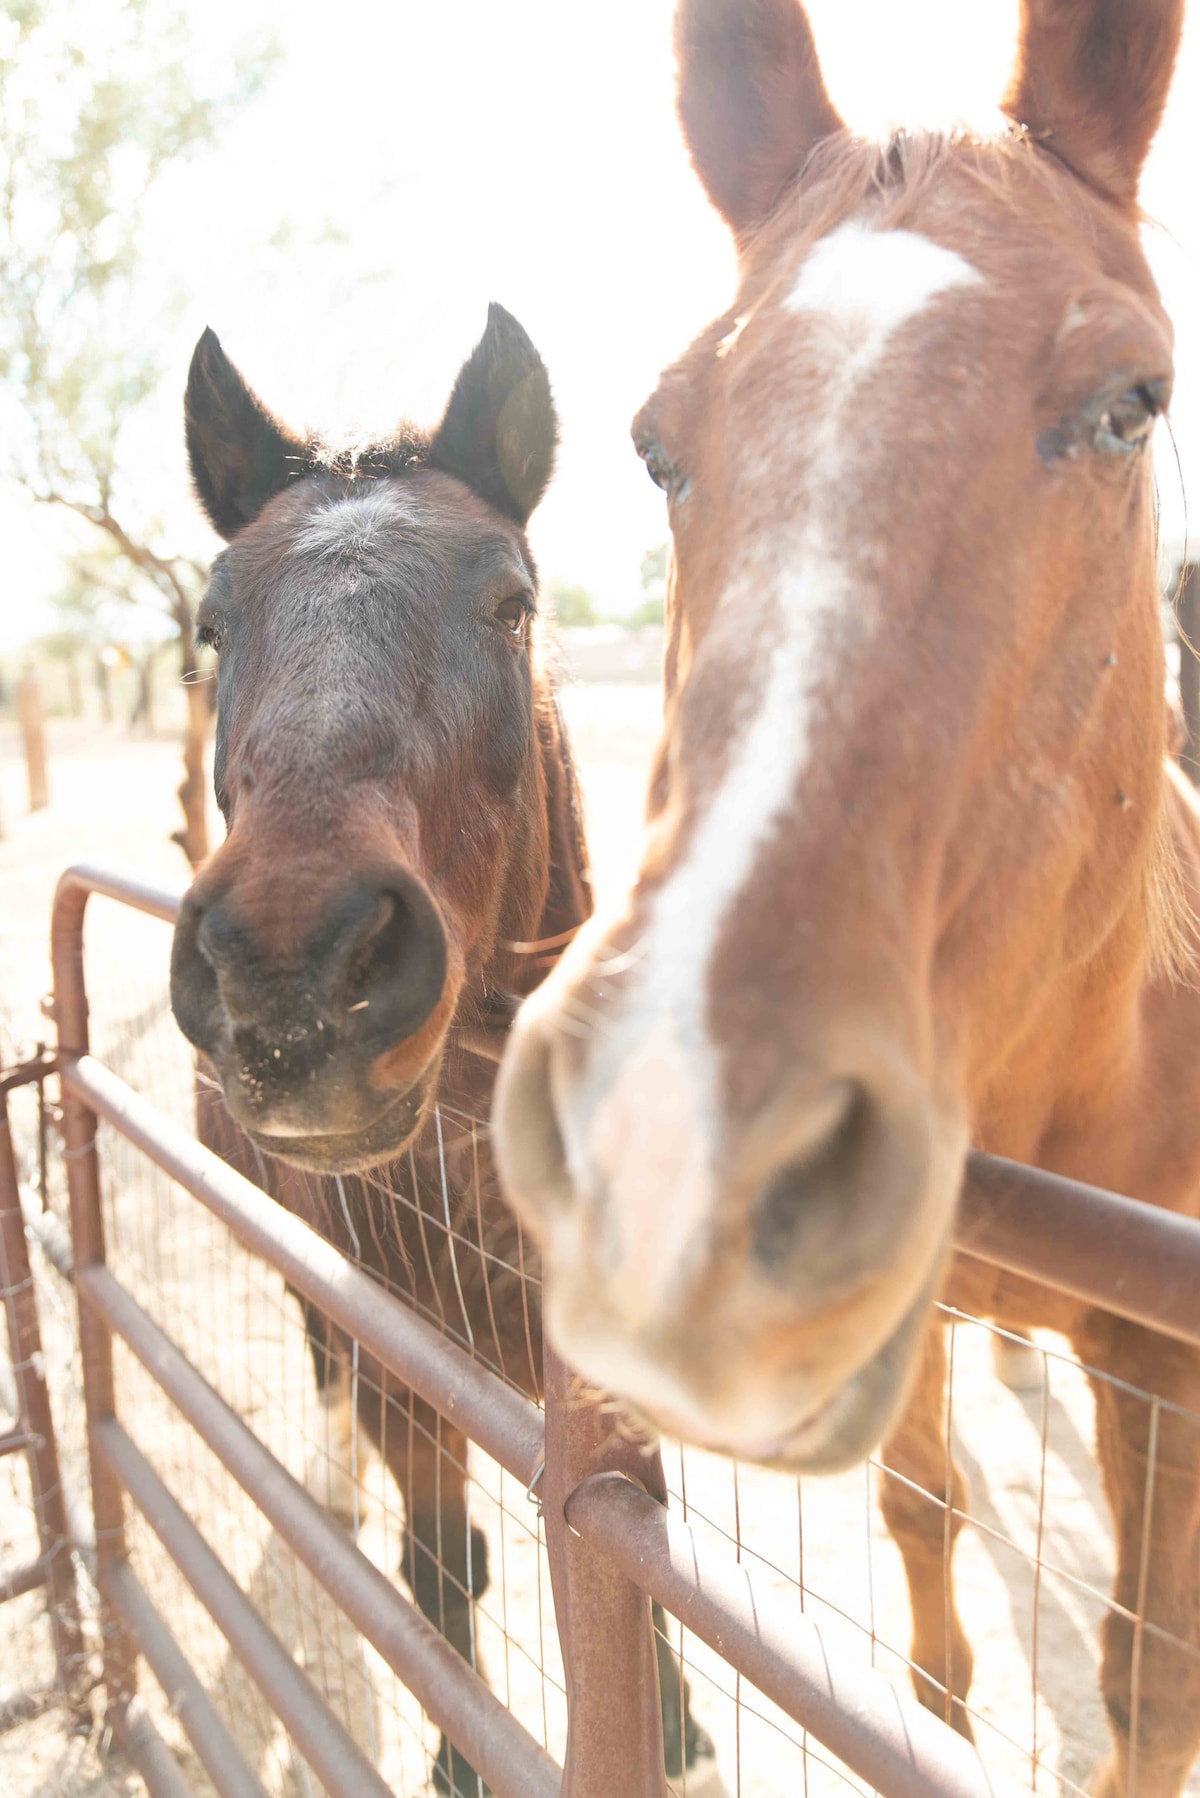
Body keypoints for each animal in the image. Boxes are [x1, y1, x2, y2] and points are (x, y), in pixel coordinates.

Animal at [170, 316, 726, 1798]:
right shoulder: (408, 1367)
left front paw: (680, 1734)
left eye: (512, 603)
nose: (293, 976)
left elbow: (632, 1585)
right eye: (212, 621)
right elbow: (442, 1571)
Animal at [496, 7, 1200, 1790]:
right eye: (655, 442)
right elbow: (922, 1520)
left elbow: (1150, 1683)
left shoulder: (1168, 1368)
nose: (674, 1147)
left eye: (1132, 401)